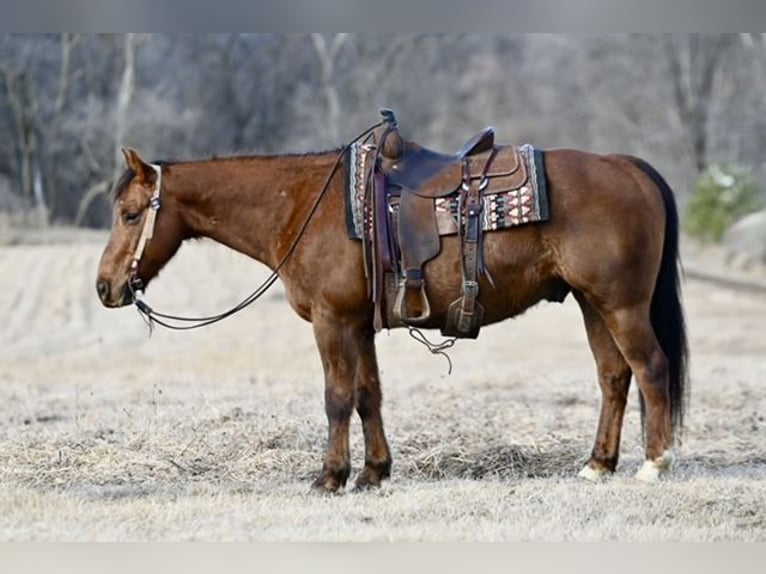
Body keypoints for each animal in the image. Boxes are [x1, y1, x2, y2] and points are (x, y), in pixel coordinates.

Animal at [96, 128, 688, 492]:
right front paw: (374, 472)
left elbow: (337, 398)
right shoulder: (358, 325)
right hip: (593, 304)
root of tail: (626, 167)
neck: (303, 206)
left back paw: (654, 464)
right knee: (614, 377)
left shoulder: (333, 322)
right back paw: (598, 464)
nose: (105, 287)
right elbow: (367, 396)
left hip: (622, 305)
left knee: (651, 369)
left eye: (130, 215)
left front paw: (331, 476)